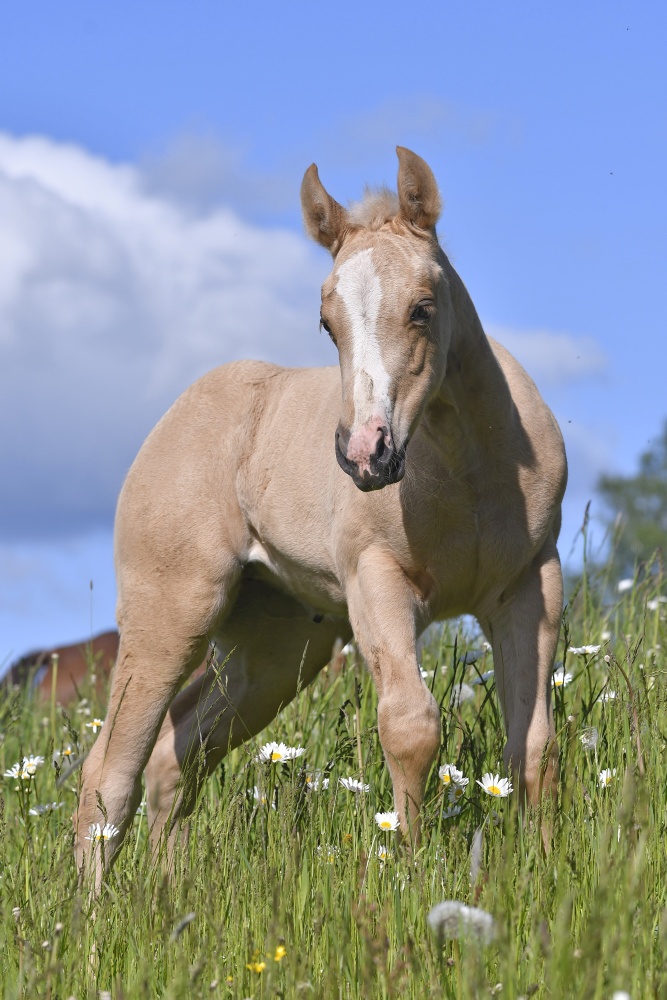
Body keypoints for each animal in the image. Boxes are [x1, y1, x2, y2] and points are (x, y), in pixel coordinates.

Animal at [75, 148, 568, 884]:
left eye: (423, 309)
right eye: (326, 323)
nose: (366, 454)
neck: (467, 470)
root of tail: (175, 417)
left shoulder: (528, 586)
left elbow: (532, 745)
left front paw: (544, 873)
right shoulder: (377, 582)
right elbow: (410, 724)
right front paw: (408, 872)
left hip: (277, 646)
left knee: (176, 753)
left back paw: (163, 894)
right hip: (170, 613)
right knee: (107, 770)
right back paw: (89, 912)